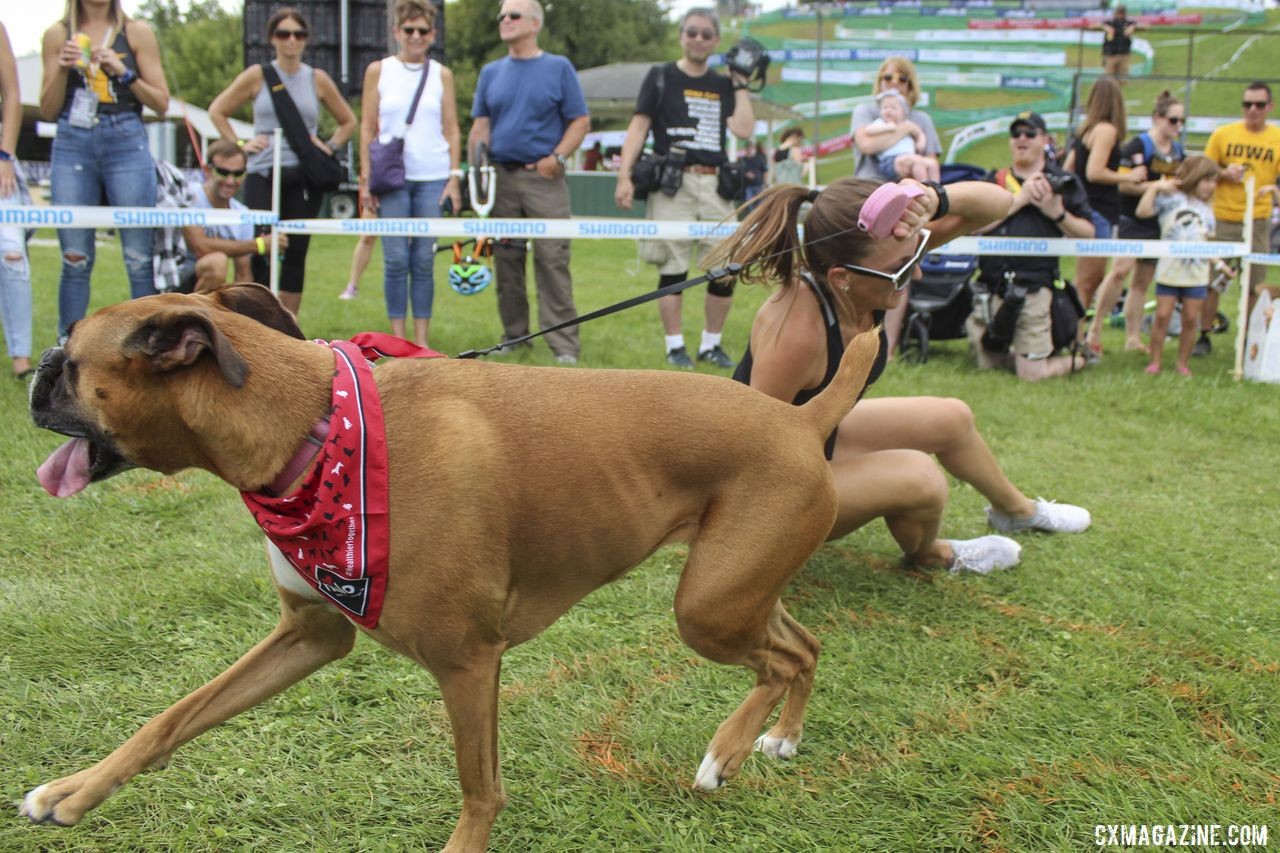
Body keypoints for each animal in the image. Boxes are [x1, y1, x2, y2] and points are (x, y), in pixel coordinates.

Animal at [22, 281, 880, 845]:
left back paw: (725, 751)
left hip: (706, 607)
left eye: (70, 361)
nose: (30, 374)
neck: (311, 424)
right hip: (738, 589)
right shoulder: (310, 635)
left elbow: (479, 789)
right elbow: (174, 715)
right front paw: (73, 790)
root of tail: (802, 418)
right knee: (804, 647)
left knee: (777, 661)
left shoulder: (468, 663)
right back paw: (780, 738)